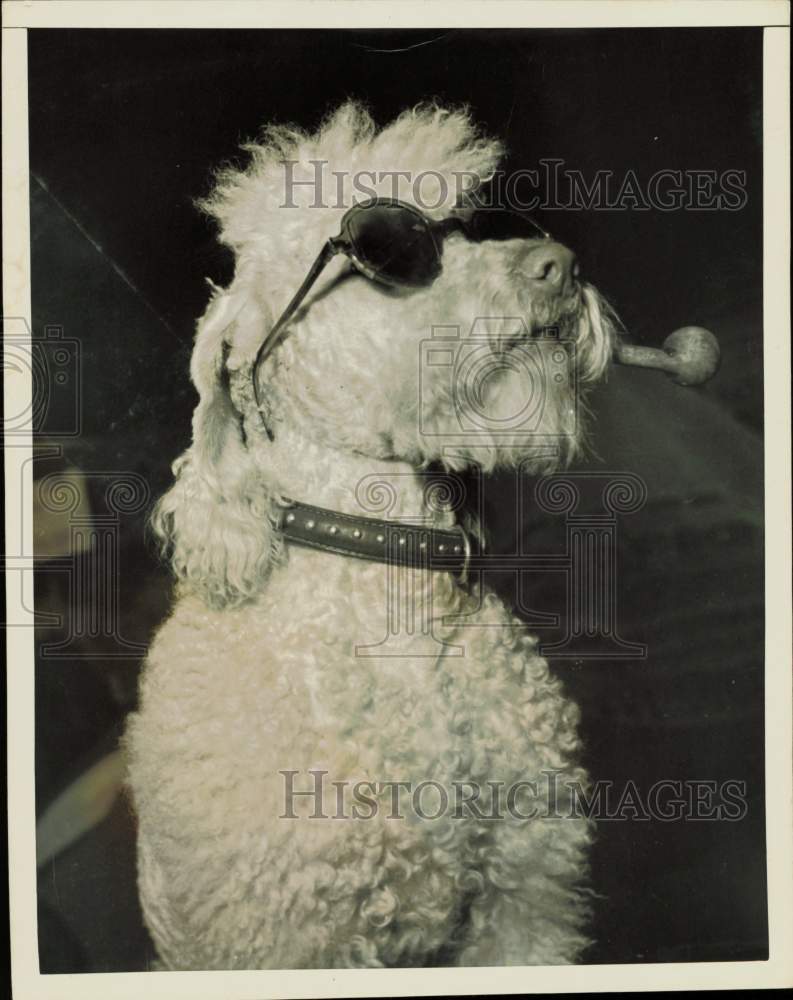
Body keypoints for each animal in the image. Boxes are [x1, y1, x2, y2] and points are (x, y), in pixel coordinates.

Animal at [124, 103, 616, 968]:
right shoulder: (289, 942)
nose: (559, 264)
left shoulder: (524, 891)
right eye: (389, 250)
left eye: (464, 227)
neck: (382, 590)